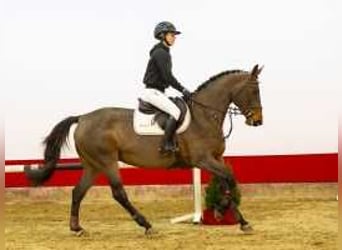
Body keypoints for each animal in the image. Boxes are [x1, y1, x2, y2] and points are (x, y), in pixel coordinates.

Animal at [25, 63, 264, 235]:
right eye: (254, 90)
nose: (258, 121)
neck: (204, 116)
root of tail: (82, 118)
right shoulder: (203, 159)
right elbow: (230, 179)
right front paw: (223, 212)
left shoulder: (216, 158)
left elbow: (227, 183)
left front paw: (233, 217)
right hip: (107, 161)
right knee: (118, 193)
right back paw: (146, 225)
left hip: (93, 165)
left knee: (78, 191)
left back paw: (77, 228)